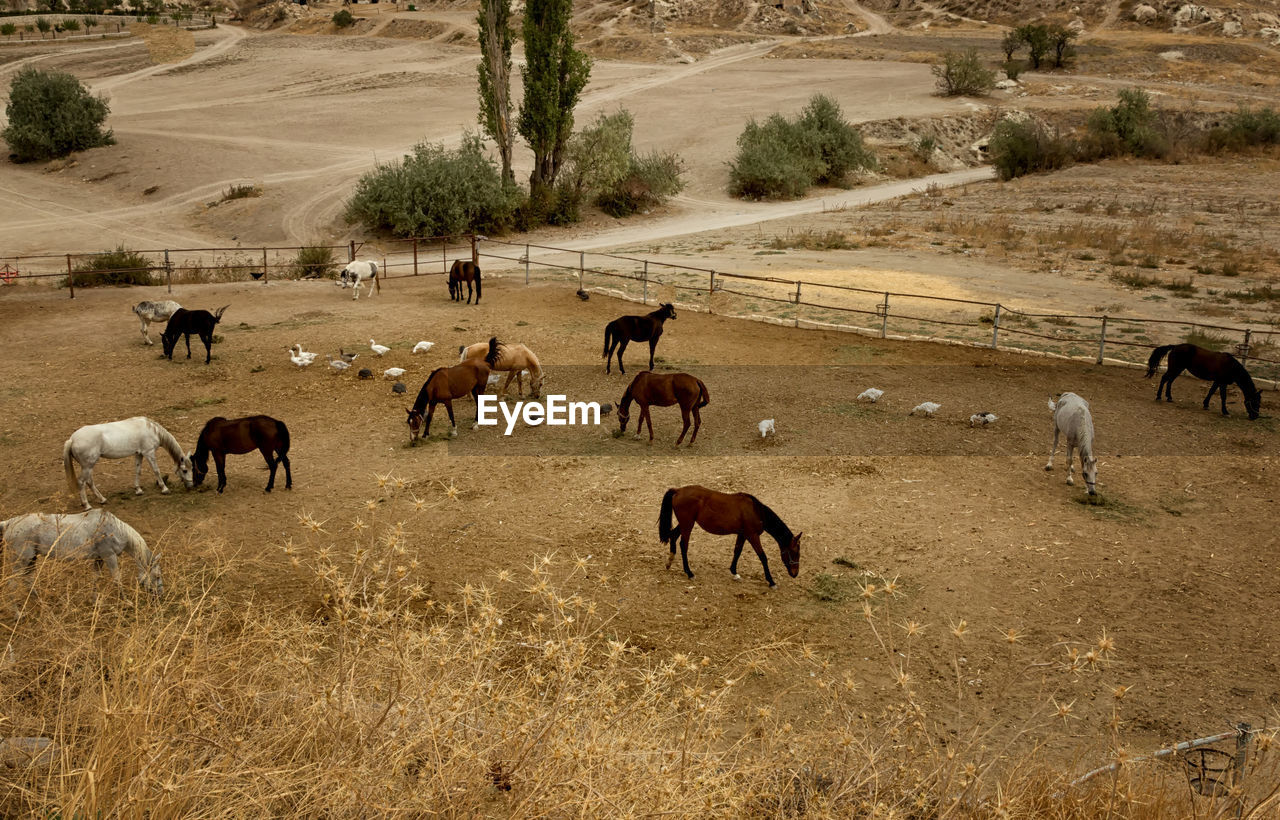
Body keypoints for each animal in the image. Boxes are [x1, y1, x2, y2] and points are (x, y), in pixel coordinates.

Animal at [0, 509, 165, 598]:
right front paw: (126, 600)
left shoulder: (99, 558)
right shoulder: (109, 556)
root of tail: (10, 523)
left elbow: (95, 577)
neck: (115, 529)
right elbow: (117, 578)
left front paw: (94, 598)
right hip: (21, 560)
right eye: (157, 576)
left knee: (28, 580)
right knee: (12, 584)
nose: (160, 594)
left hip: (31, 559)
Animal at [63, 419, 194, 509]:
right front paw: (164, 489)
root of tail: (72, 439)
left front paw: (138, 490)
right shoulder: (149, 453)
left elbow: (138, 470)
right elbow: (156, 470)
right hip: (87, 466)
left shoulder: (139, 454)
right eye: (185, 470)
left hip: (88, 466)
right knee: (82, 482)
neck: (152, 430)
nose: (191, 486)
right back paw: (87, 505)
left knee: (89, 482)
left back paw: (102, 499)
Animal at [660, 483, 798, 585]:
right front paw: (771, 581)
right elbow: (762, 556)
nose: (795, 573)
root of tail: (678, 490)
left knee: (673, 536)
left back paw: (669, 562)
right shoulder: (752, 535)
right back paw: (689, 573)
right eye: (794, 552)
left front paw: (734, 572)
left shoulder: (742, 534)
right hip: (687, 524)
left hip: (685, 524)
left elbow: (737, 551)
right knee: (683, 545)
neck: (756, 511)